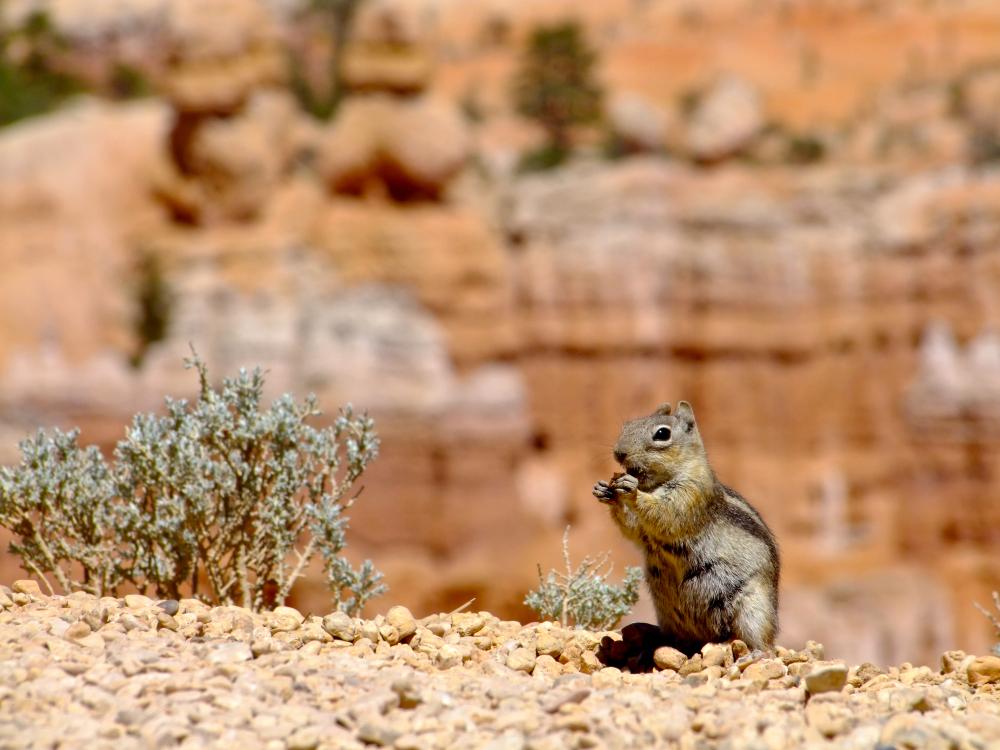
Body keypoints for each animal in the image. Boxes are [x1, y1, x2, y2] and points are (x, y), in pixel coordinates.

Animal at [592, 402, 780, 656]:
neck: (656, 484)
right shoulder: (643, 531)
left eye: (662, 434)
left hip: (754, 610)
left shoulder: (691, 495)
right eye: (627, 425)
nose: (619, 453)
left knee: (764, 645)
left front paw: (632, 492)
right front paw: (606, 492)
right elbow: (634, 529)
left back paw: (750, 655)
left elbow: (666, 514)